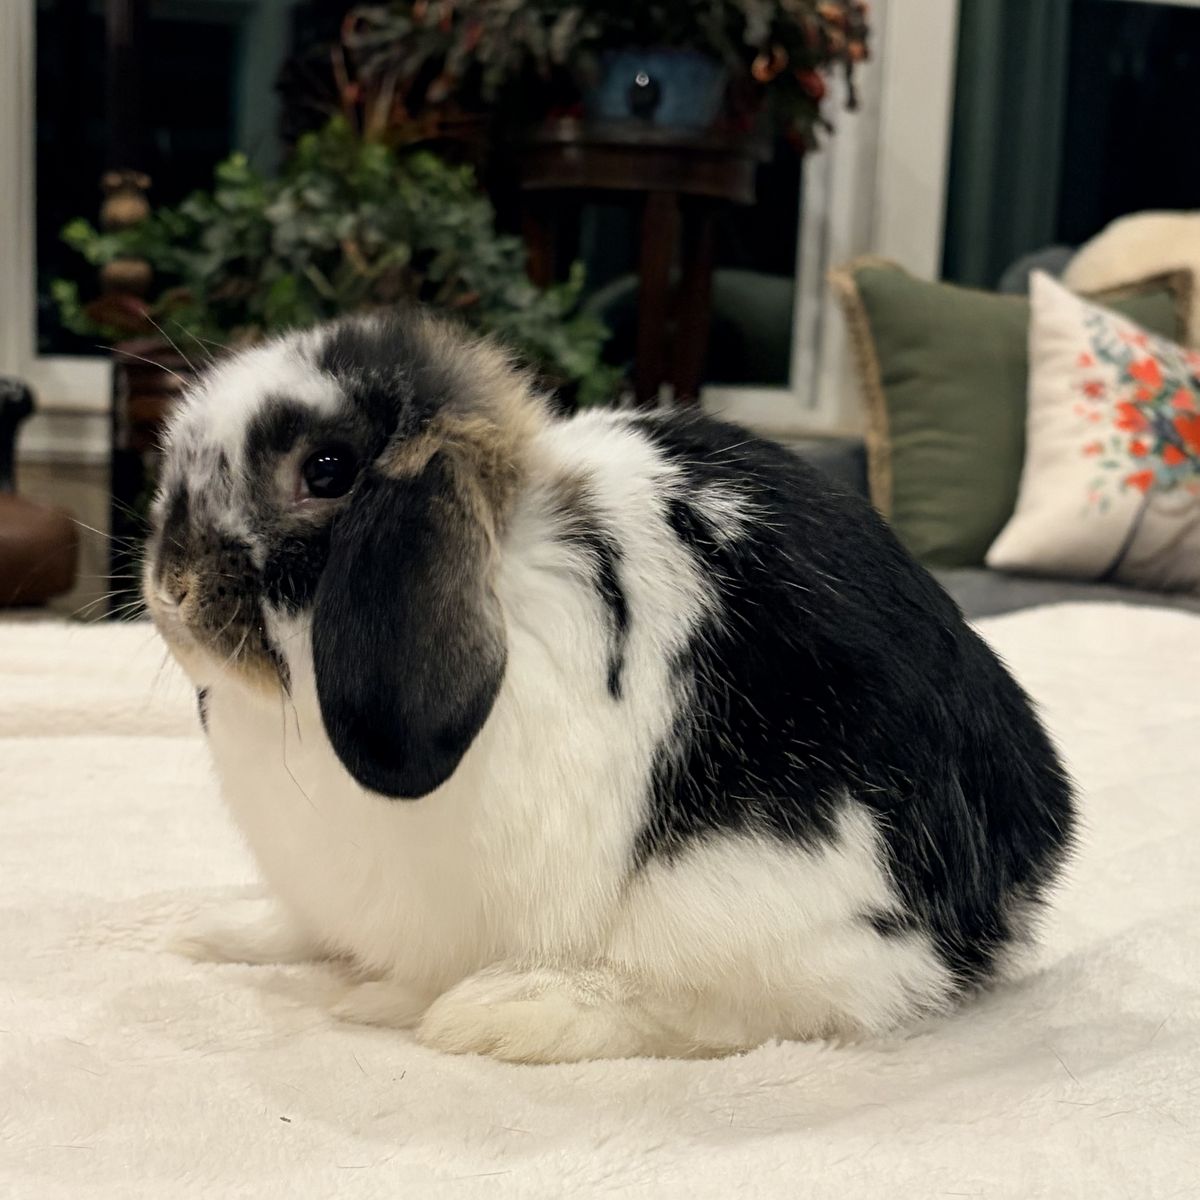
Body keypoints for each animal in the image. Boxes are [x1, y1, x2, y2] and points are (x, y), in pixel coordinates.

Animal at [146, 309, 1076, 1064]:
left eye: (328, 469)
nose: (172, 587)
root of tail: (1011, 880)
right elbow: (298, 923)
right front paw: (210, 931)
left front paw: (386, 998)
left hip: (752, 887)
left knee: (757, 1004)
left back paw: (507, 1012)